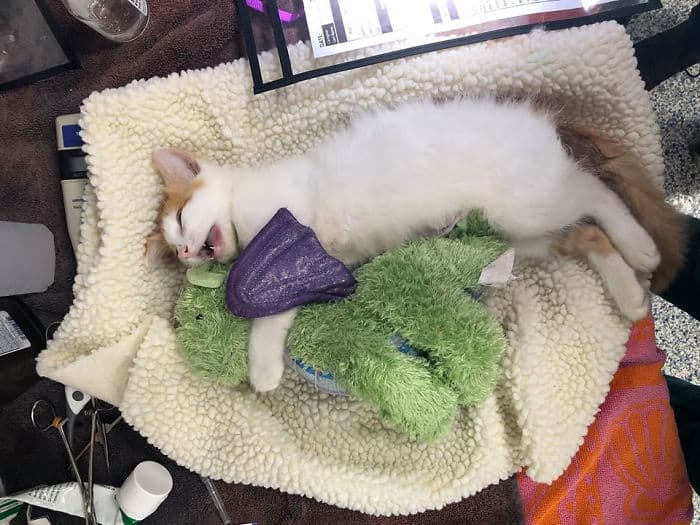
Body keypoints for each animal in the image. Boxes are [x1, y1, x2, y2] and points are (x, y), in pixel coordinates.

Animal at [146, 99, 684, 392]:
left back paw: (641, 246)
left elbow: (264, 312)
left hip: (526, 204)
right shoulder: (312, 264)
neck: (244, 210)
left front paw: (261, 368)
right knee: (586, 231)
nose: (188, 254)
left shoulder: (293, 230)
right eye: (175, 253)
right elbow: (278, 310)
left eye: (180, 219)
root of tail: (542, 126)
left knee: (595, 191)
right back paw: (629, 293)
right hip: (520, 235)